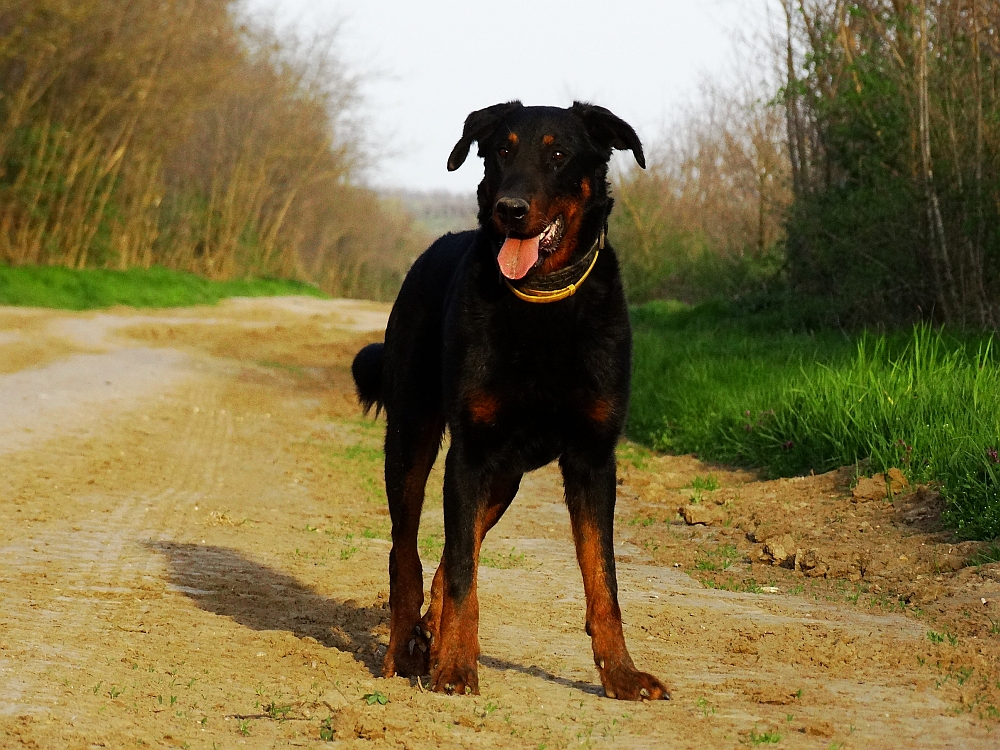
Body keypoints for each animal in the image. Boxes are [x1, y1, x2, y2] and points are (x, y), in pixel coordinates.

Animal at [354, 103, 672, 704]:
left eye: (558, 154)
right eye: (501, 149)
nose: (510, 210)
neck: (541, 303)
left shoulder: (592, 459)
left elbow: (604, 580)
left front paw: (621, 674)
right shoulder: (470, 455)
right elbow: (461, 573)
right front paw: (456, 667)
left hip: (504, 479)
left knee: (456, 549)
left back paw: (428, 634)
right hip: (412, 441)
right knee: (407, 553)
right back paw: (403, 648)